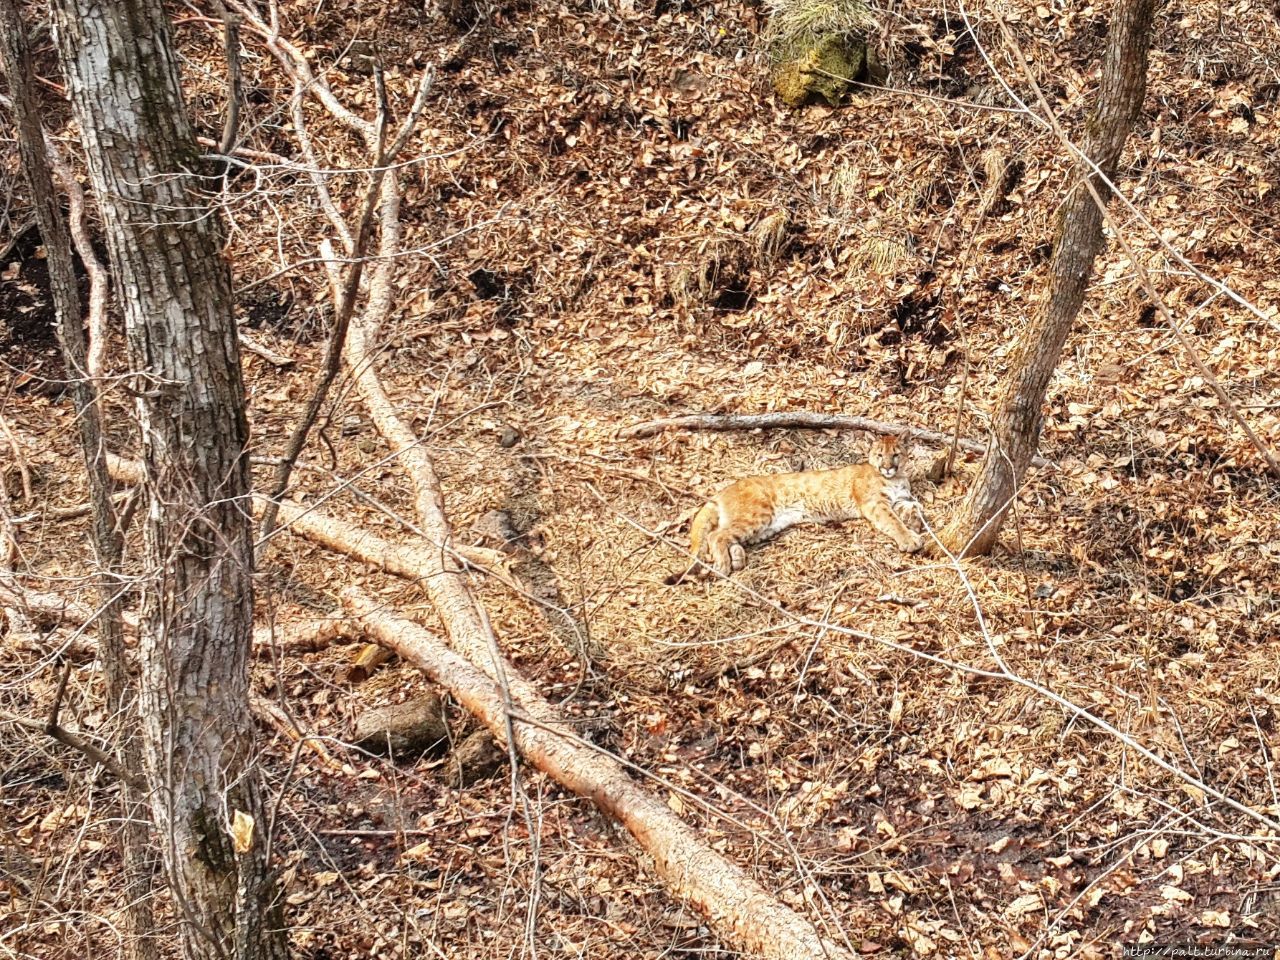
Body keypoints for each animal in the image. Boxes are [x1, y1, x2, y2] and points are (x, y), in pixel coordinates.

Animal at [665, 432, 926, 583]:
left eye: (896, 454)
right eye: (880, 455)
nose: (887, 467)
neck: (896, 478)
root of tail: (725, 488)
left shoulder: (900, 499)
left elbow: (912, 508)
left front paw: (914, 524)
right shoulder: (875, 503)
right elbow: (893, 521)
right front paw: (908, 539)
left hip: (765, 526)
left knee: (727, 536)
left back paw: (737, 558)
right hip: (758, 515)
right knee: (716, 536)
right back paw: (724, 565)